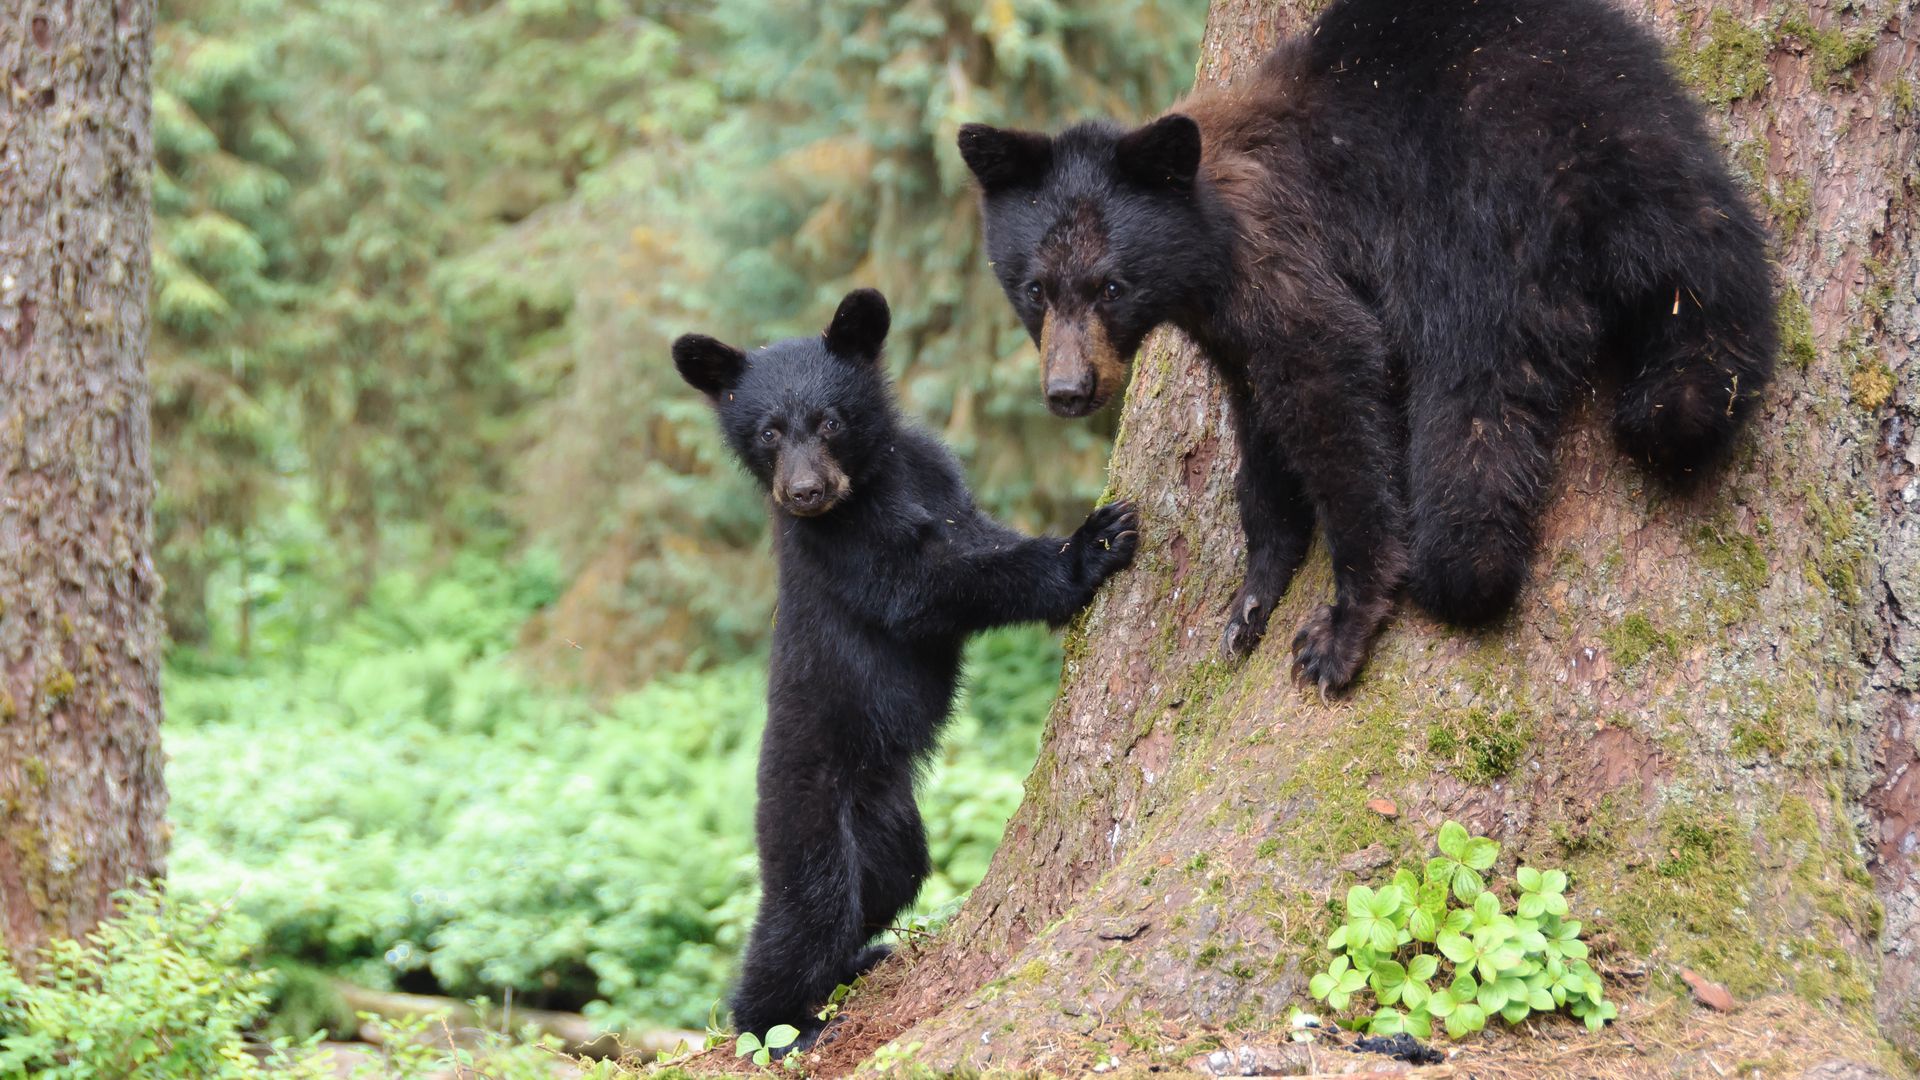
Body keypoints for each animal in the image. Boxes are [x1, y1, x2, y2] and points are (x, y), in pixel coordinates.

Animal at [672, 287, 1140, 1050]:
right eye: (768, 432)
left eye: (830, 420)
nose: (803, 492)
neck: (871, 482)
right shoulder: (844, 546)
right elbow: (923, 586)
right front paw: (1088, 545)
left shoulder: (936, 476)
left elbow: (973, 534)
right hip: (807, 816)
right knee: (807, 914)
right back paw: (779, 1024)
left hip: (891, 824)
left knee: (887, 884)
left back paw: (863, 958)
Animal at [957, 0, 1775, 692]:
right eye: (1036, 288)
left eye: (1111, 286)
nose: (1070, 391)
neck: (1206, 250)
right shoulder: (1231, 332)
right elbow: (1261, 439)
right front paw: (1253, 595)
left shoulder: (1283, 261)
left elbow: (1336, 381)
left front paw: (1345, 618)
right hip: (1661, 157)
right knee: (1716, 283)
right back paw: (1683, 406)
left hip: (1470, 229)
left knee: (1472, 395)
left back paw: (1464, 563)